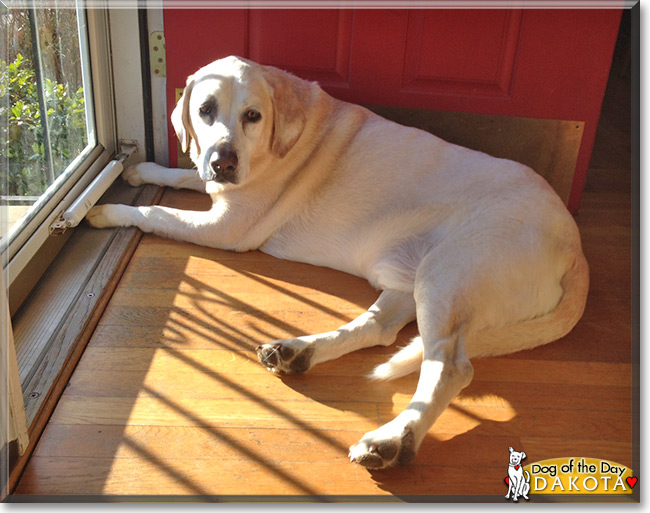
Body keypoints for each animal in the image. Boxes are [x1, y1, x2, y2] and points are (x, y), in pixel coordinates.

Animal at [86, 55, 588, 468]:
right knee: (379, 329)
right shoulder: (213, 186)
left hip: (447, 274)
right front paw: (143, 170)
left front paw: (108, 211)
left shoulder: (226, 226)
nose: (223, 162)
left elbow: (156, 213)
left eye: (253, 116)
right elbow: (181, 174)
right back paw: (298, 352)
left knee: (448, 367)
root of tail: (575, 247)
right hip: (411, 280)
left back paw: (393, 440)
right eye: (205, 109)